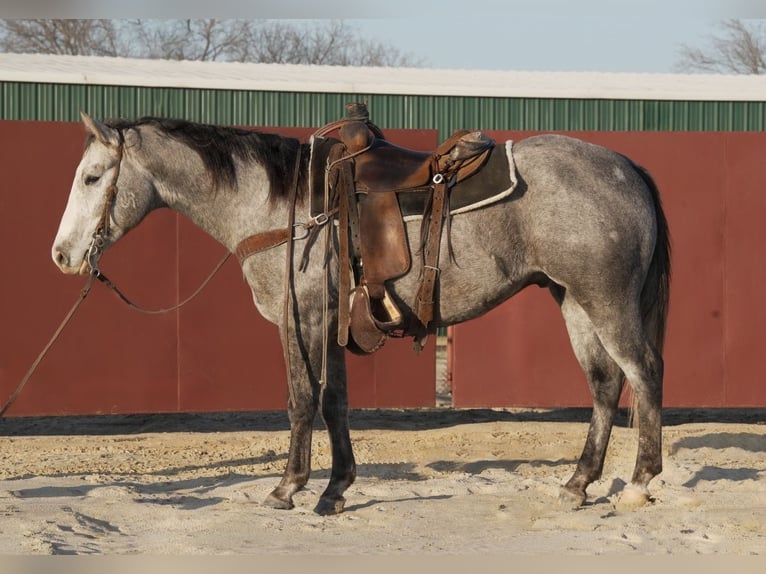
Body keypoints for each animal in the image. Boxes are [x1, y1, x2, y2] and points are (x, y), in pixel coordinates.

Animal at [52, 111, 672, 516]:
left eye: (91, 177)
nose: (62, 255)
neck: (284, 206)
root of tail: (626, 167)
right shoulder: (330, 322)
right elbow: (335, 403)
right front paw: (334, 489)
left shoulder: (299, 319)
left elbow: (301, 400)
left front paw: (288, 487)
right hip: (573, 299)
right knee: (604, 383)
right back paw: (578, 483)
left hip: (606, 301)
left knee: (643, 373)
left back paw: (639, 483)